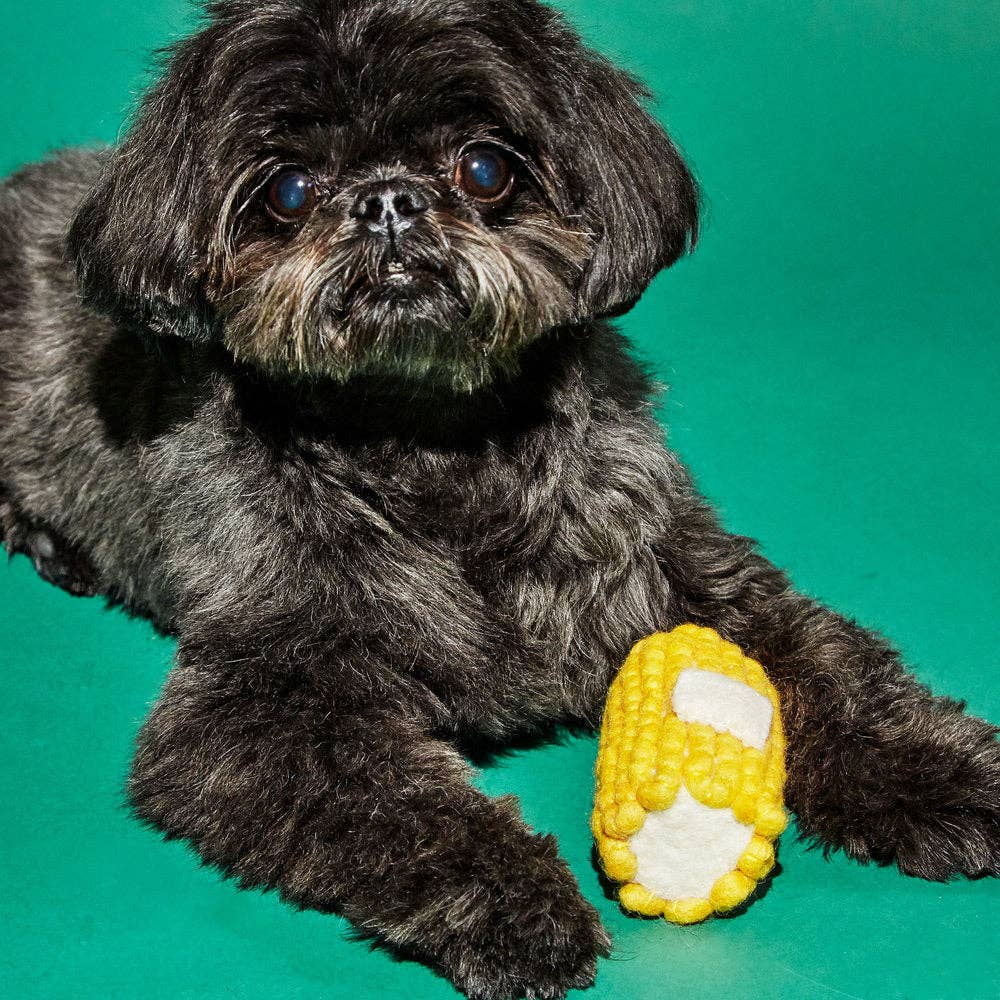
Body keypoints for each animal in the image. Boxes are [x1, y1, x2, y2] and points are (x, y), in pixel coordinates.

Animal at [0, 0, 996, 996]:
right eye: (287, 188)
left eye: (484, 168)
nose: (388, 201)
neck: (431, 444)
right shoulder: (253, 701)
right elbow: (396, 806)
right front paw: (514, 899)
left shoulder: (679, 562)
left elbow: (827, 666)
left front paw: (933, 768)